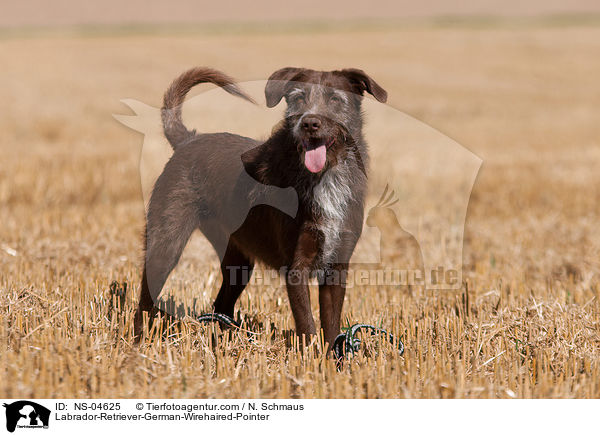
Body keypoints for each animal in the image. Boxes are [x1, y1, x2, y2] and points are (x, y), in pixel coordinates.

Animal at [134, 65, 386, 350]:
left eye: (335, 99)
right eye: (299, 98)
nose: (310, 123)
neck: (324, 176)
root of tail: (188, 141)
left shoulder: (337, 267)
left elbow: (332, 327)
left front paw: (334, 359)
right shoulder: (296, 268)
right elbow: (307, 327)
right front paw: (312, 357)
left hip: (239, 262)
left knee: (221, 305)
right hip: (165, 244)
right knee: (145, 302)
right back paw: (138, 344)